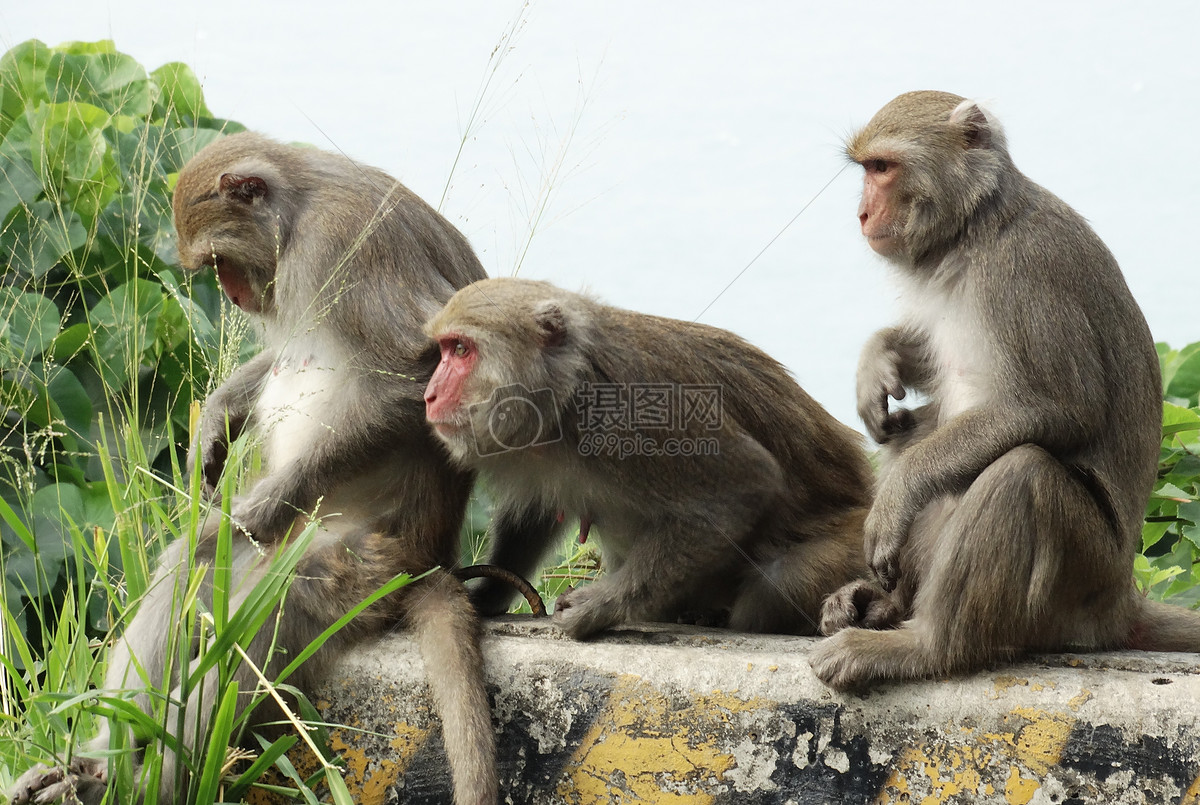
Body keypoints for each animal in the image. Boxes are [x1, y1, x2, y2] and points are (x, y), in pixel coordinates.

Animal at [10, 133, 496, 805]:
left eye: (220, 262)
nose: (233, 293)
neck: (297, 212)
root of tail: (432, 558)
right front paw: (213, 425)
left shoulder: (340, 241)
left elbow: (418, 372)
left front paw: (264, 503)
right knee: (190, 564)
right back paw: (100, 764)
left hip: (361, 567)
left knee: (261, 614)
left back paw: (144, 783)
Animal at [422, 277, 873, 643]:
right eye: (444, 350)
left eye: (461, 349)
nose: (429, 395)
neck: (567, 390)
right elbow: (535, 514)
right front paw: (489, 592)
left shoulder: (632, 415)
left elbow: (745, 485)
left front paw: (598, 607)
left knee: (775, 583)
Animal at [806, 91, 1200, 691]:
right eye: (866, 169)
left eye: (882, 168)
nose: (863, 214)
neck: (976, 230)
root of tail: (1119, 604)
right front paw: (878, 360)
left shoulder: (1021, 273)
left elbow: (1060, 407)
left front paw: (898, 497)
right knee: (916, 431)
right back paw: (886, 603)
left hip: (1076, 586)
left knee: (1022, 472)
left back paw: (924, 647)